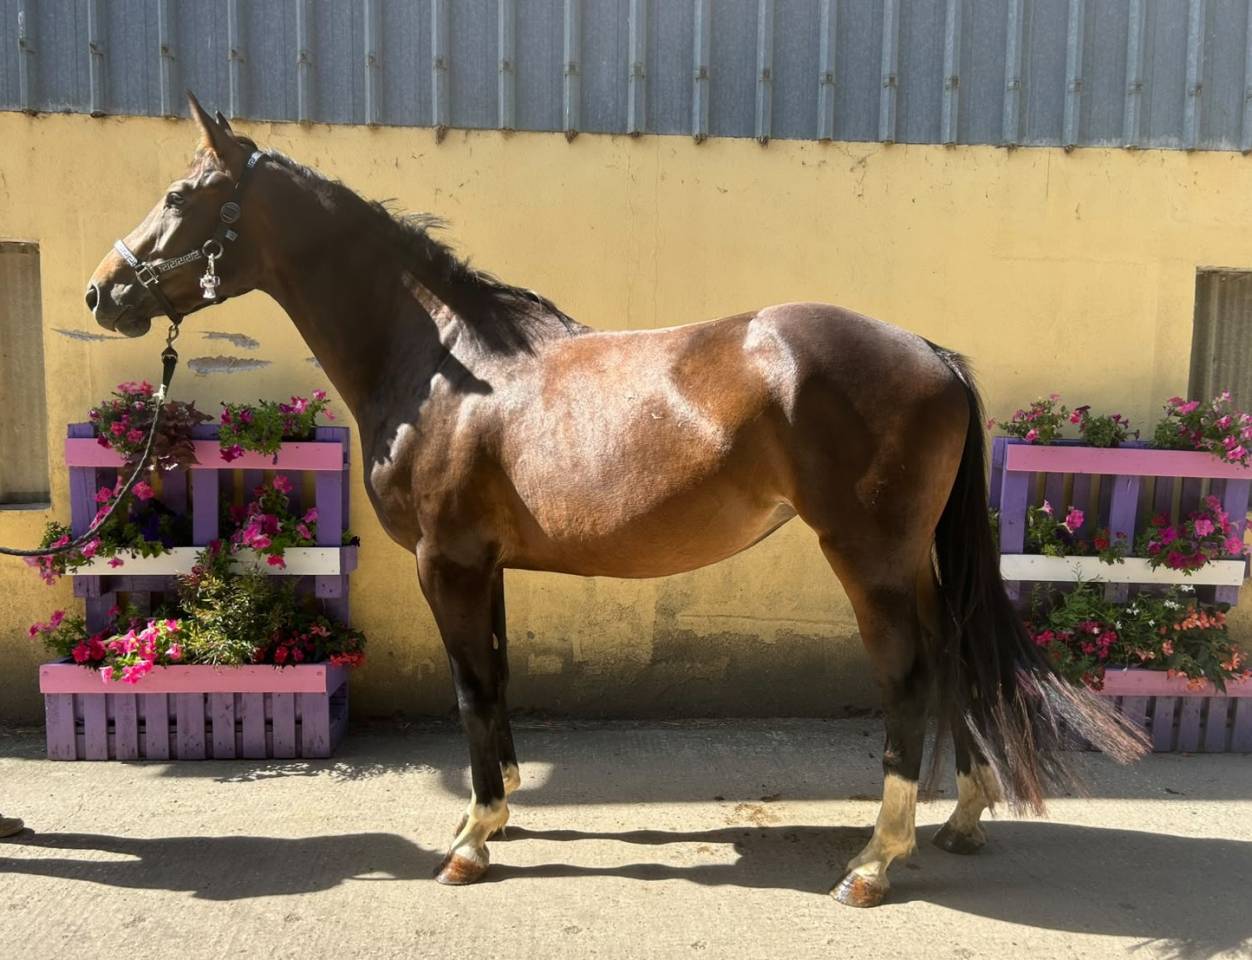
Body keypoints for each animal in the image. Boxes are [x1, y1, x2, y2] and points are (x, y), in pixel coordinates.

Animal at [84, 94, 1147, 906]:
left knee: (912, 676)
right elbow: (497, 678)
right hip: (911, 560)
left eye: (181, 195)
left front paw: (471, 842)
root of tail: (929, 352)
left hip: (868, 558)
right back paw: (962, 816)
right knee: (958, 656)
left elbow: (469, 687)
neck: (442, 365)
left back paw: (875, 863)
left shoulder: (445, 563)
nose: (101, 293)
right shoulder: (484, 566)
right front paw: (497, 809)